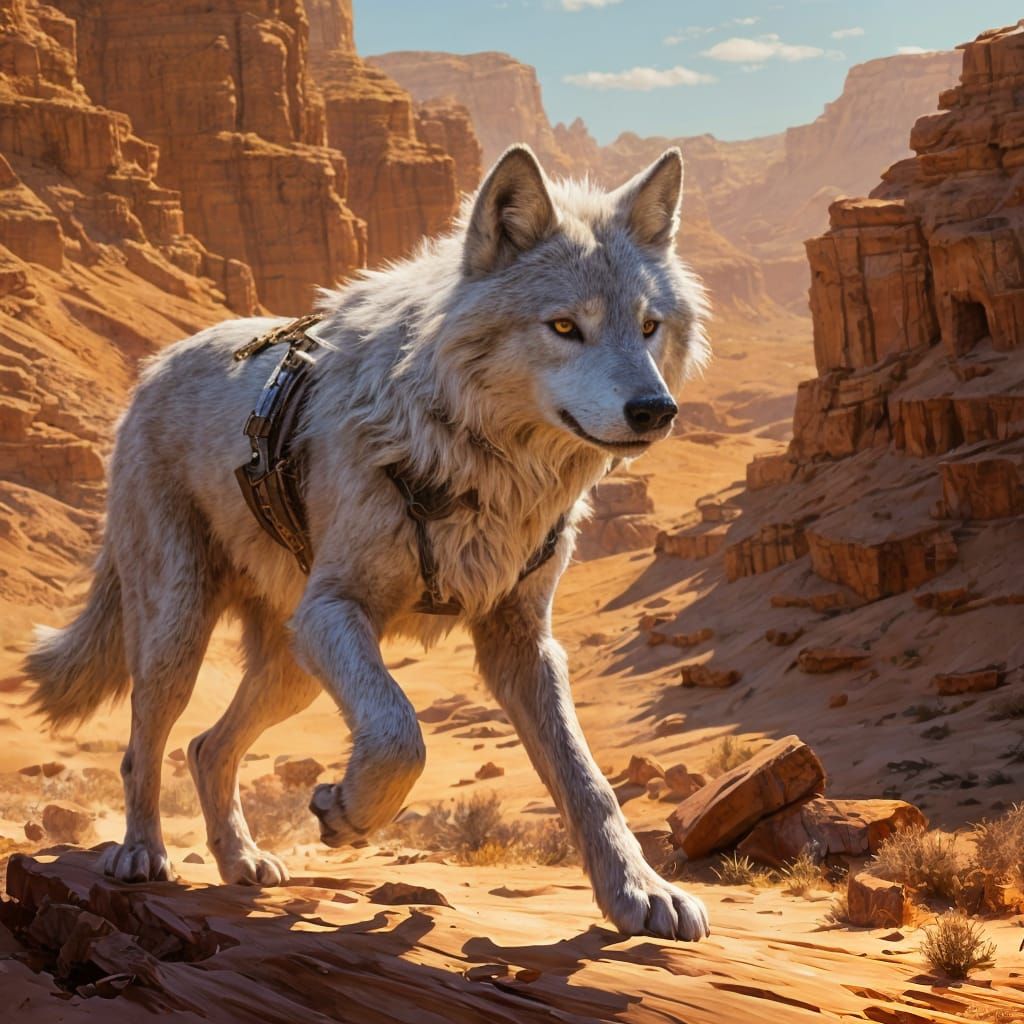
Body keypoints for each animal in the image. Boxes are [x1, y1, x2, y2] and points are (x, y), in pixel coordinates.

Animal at [25, 144, 711, 941]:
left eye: (649, 326)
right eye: (565, 326)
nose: (655, 409)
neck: (472, 460)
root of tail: (156, 364)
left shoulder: (521, 641)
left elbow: (588, 781)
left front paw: (639, 891)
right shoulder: (336, 610)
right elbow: (399, 735)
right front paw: (348, 815)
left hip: (290, 662)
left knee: (207, 746)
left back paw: (241, 860)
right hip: (184, 631)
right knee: (145, 747)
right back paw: (141, 853)